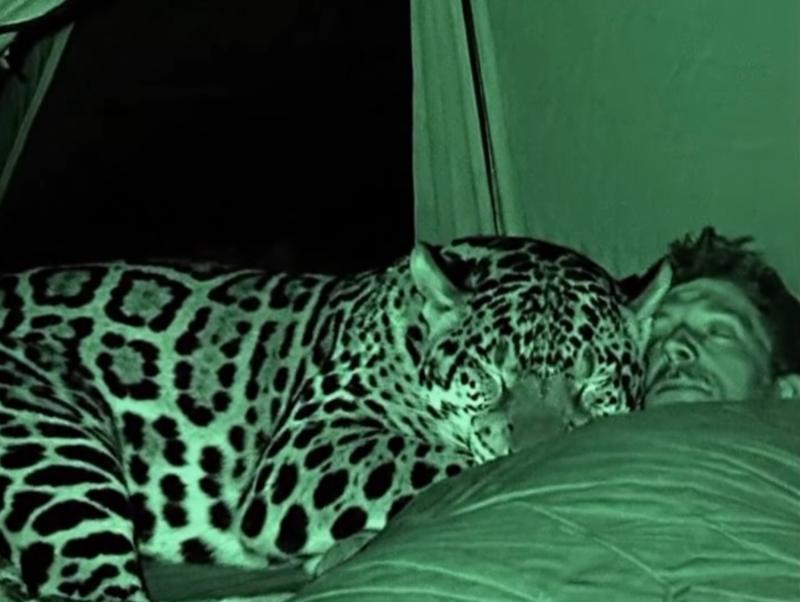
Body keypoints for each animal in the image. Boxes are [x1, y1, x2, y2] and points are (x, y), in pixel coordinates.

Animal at [0, 235, 671, 601]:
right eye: (487, 374)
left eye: (594, 383)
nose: (538, 445)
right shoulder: (307, 446)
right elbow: (441, 462)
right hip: (53, 445)